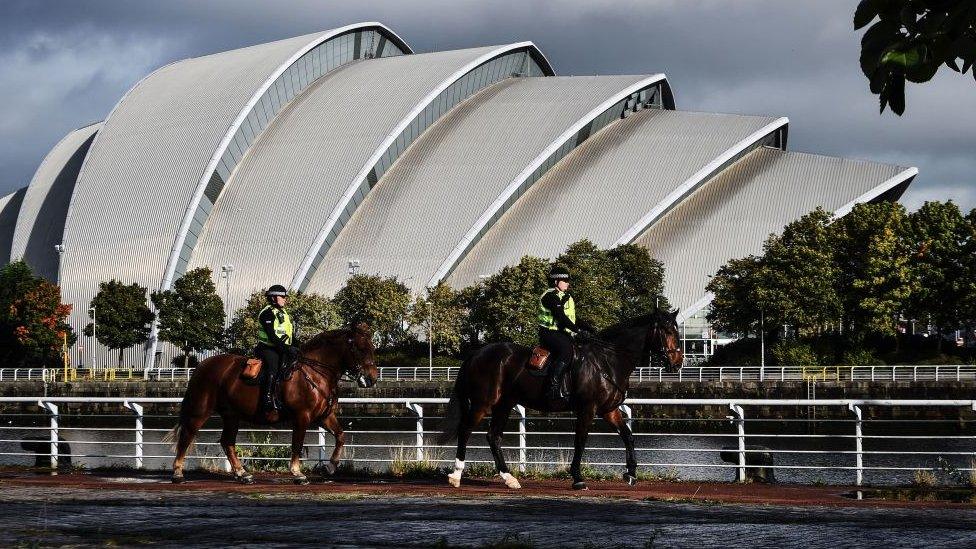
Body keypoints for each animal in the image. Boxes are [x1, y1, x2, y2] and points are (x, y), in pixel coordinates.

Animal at [164, 322, 378, 484]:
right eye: (360, 349)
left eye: (373, 348)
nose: (372, 378)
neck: (315, 373)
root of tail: (202, 365)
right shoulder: (302, 417)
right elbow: (297, 444)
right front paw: (297, 473)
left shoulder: (324, 416)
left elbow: (341, 436)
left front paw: (330, 467)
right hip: (200, 410)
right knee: (187, 436)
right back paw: (178, 473)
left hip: (231, 415)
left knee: (227, 442)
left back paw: (242, 474)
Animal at [438, 308, 684, 488]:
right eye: (667, 331)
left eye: (677, 330)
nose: (678, 362)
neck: (607, 361)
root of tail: (477, 353)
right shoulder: (587, 409)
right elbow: (580, 441)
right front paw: (577, 478)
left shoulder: (609, 410)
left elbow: (628, 437)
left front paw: (631, 472)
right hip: (483, 403)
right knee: (466, 430)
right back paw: (457, 475)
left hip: (504, 404)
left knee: (493, 436)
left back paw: (509, 478)